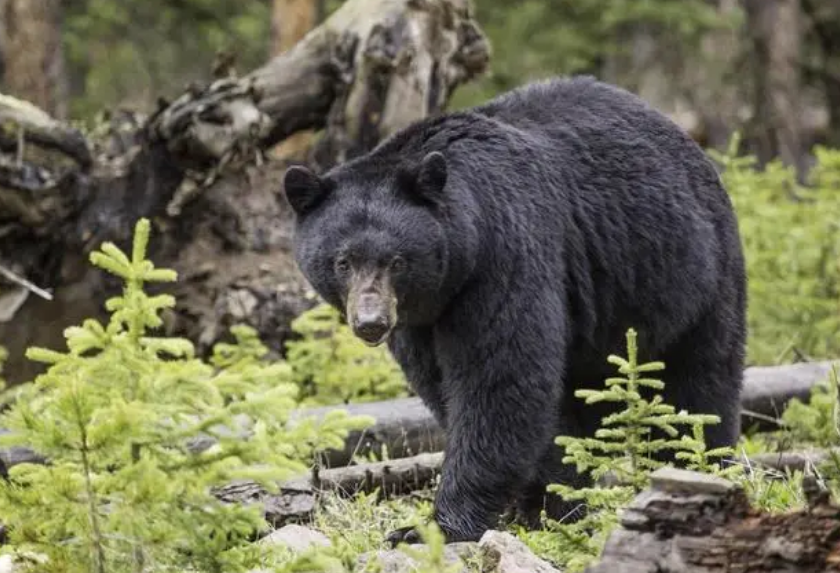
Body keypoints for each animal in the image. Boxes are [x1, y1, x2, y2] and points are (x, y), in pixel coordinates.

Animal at [284, 78, 748, 544]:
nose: (371, 322)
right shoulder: (421, 320)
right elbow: (446, 386)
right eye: (343, 261)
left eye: (397, 261)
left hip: (691, 276)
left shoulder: (504, 256)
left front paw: (435, 526)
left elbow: (500, 380)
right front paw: (546, 502)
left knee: (698, 386)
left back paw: (697, 468)